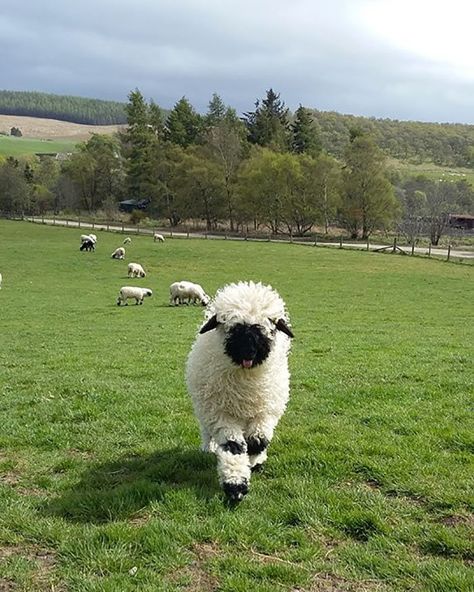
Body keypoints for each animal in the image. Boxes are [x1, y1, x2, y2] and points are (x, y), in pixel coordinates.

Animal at [185, 280, 292, 500]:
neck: (246, 382)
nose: (248, 352)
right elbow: (234, 447)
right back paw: (208, 449)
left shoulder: (265, 412)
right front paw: (235, 484)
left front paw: (254, 461)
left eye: (265, 327)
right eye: (233, 328)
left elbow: (258, 441)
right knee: (207, 433)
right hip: (205, 411)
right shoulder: (221, 415)